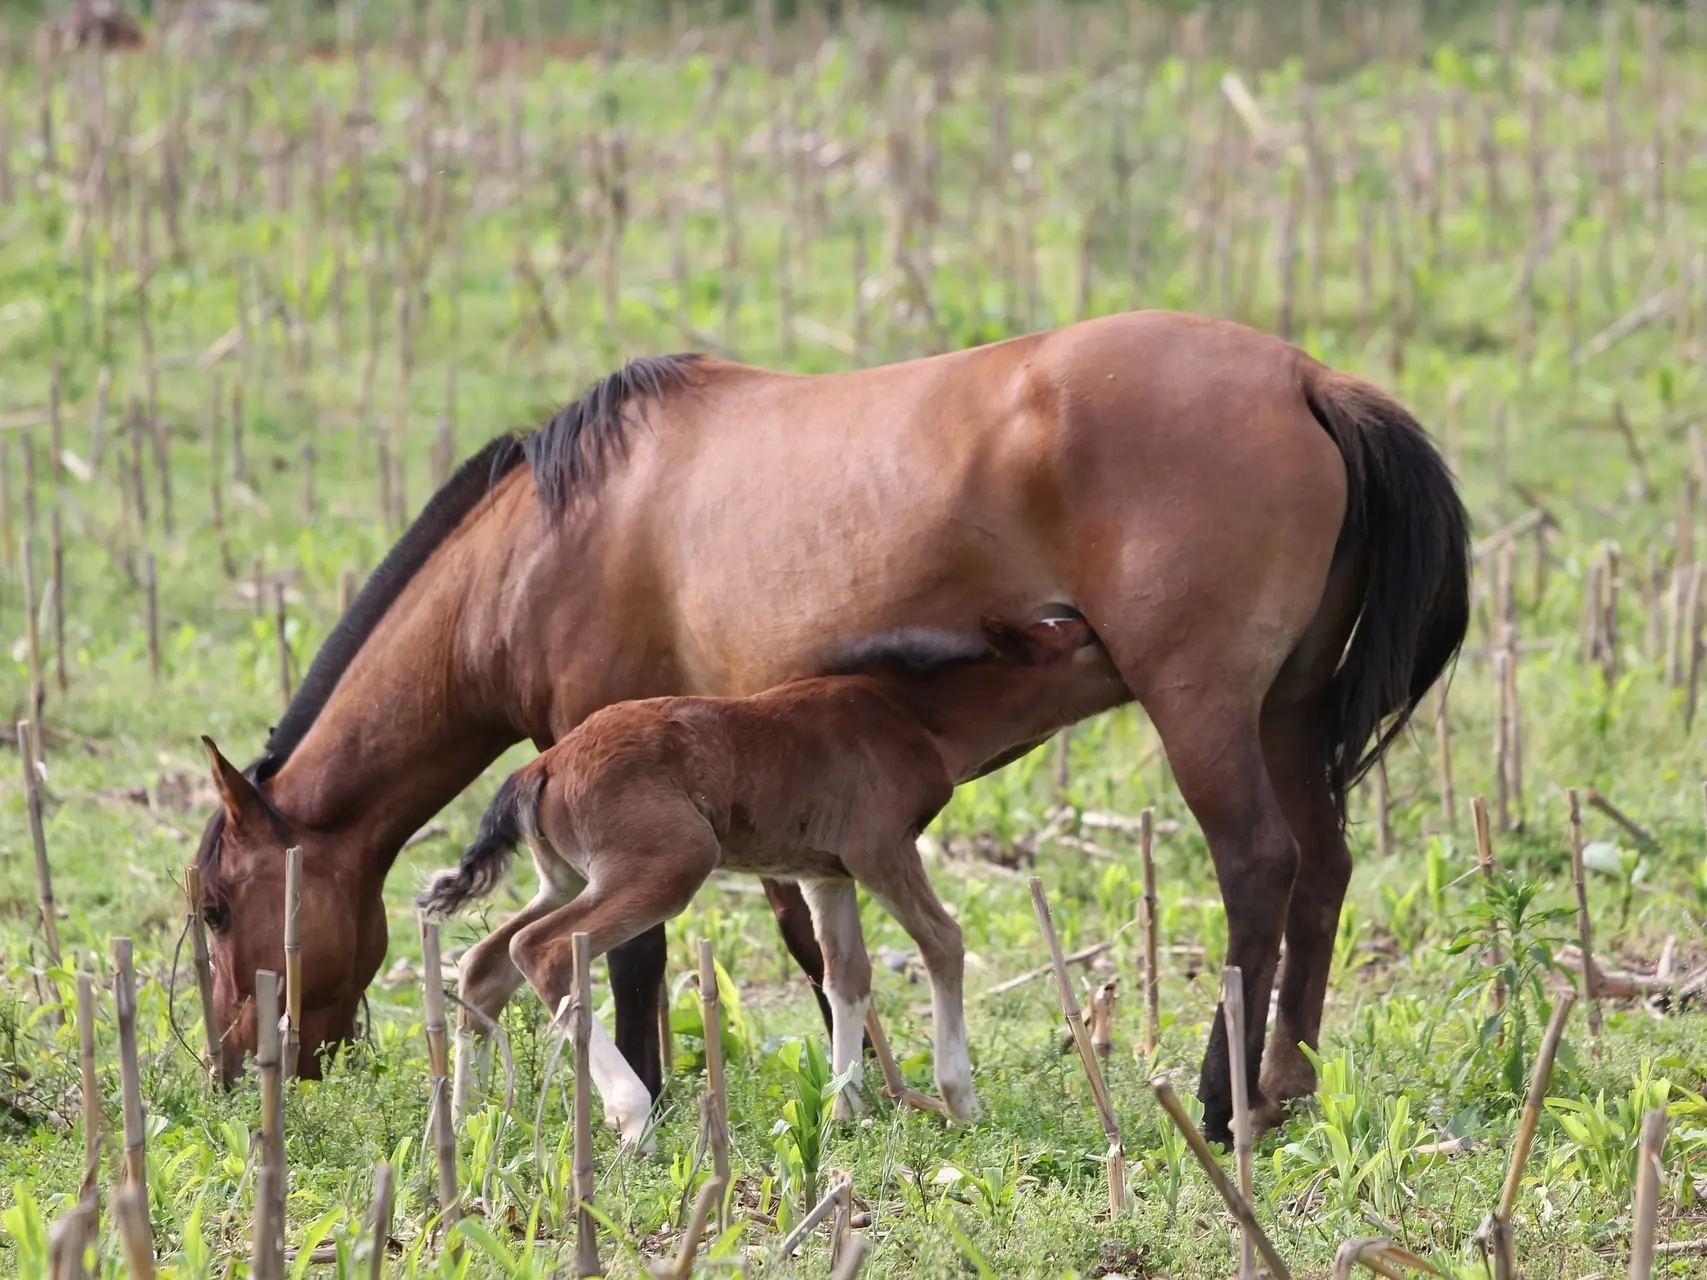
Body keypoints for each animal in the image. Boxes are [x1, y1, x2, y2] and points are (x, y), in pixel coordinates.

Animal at [418, 617, 1126, 1146]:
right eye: (1085, 639)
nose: (1131, 661)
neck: (915, 717)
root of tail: (542, 765)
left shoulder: (826, 873)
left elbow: (846, 974)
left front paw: (844, 1108)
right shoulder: (882, 850)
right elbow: (943, 941)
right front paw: (960, 1099)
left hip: (565, 878)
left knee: (485, 961)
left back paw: (466, 1121)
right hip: (668, 865)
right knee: (540, 949)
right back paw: (630, 1113)